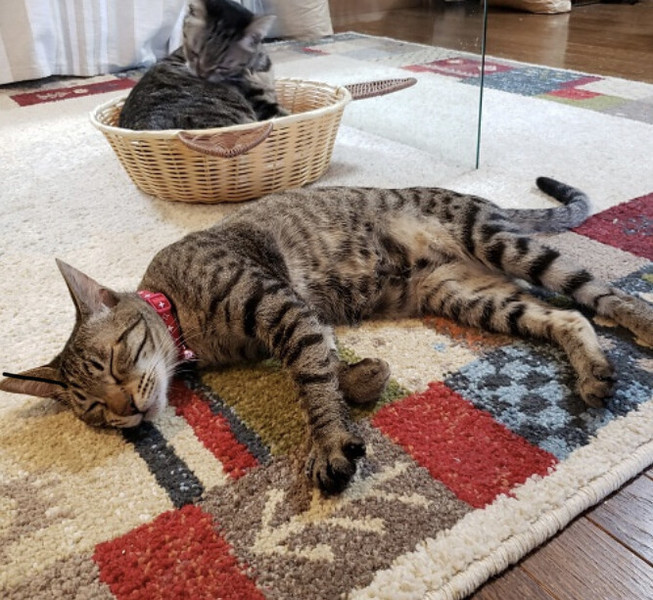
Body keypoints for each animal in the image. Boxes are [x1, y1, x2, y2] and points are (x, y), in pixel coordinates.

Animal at [2, 178, 652, 494]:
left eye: (115, 360)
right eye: (93, 410)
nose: (128, 411)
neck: (186, 320)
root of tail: (481, 198)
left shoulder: (280, 306)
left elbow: (311, 377)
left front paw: (331, 442)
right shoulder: (295, 321)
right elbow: (329, 363)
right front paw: (363, 380)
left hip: (497, 243)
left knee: (592, 292)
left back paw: (639, 319)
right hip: (468, 296)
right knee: (569, 318)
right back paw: (595, 370)